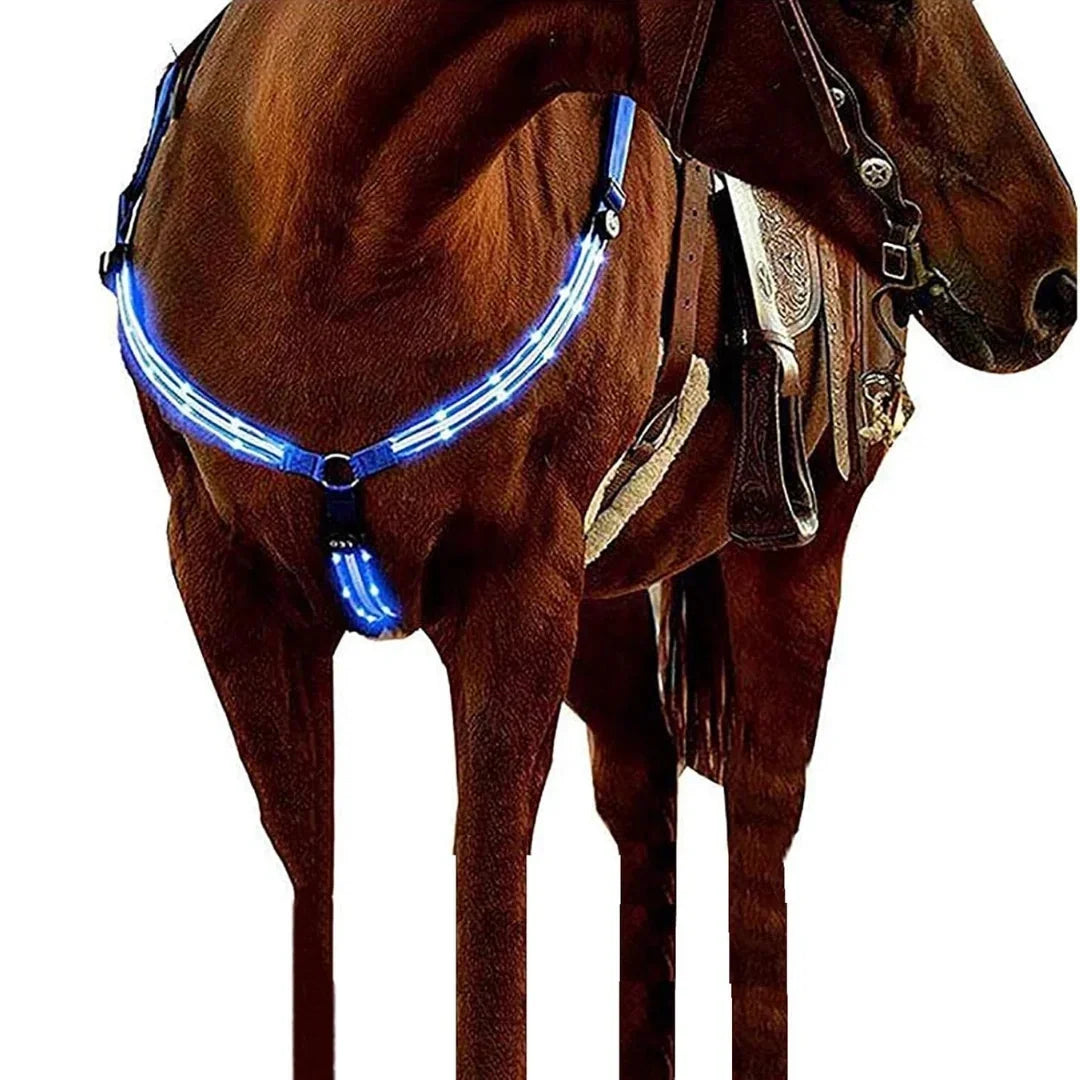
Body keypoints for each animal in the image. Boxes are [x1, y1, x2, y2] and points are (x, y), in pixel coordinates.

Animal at [101, 2, 1075, 1078]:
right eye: (872, 5)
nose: (1053, 280)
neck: (333, 242)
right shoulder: (232, 594)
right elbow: (310, 877)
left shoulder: (517, 595)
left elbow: (489, 912)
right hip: (604, 594)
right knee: (646, 793)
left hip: (792, 559)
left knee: (760, 817)